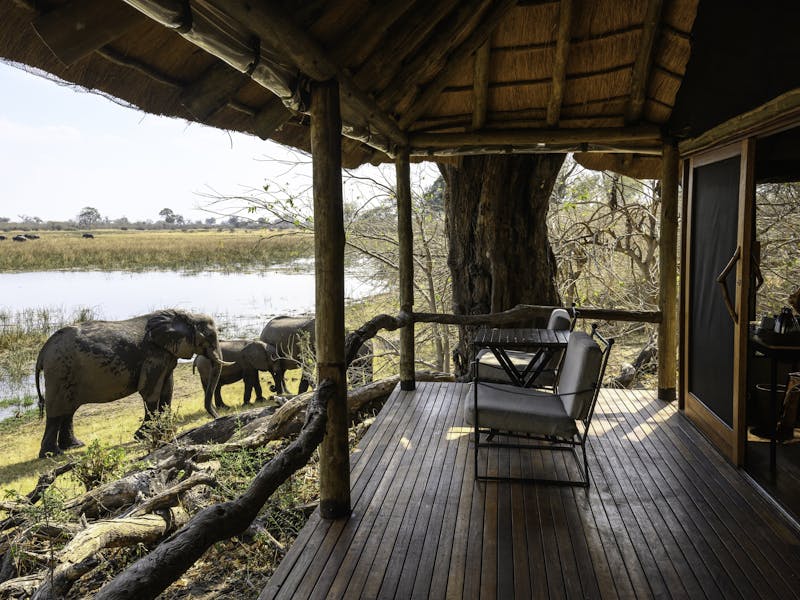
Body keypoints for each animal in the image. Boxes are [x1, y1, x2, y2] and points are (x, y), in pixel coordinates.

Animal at [35, 309, 229, 458]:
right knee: (56, 412)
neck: (182, 315)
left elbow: (167, 390)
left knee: (68, 411)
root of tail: (43, 351)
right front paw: (142, 436)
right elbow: (150, 391)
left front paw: (162, 431)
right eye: (208, 337)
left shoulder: (166, 354)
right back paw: (52, 454)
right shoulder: (153, 355)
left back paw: (74, 446)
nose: (217, 417)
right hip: (60, 371)